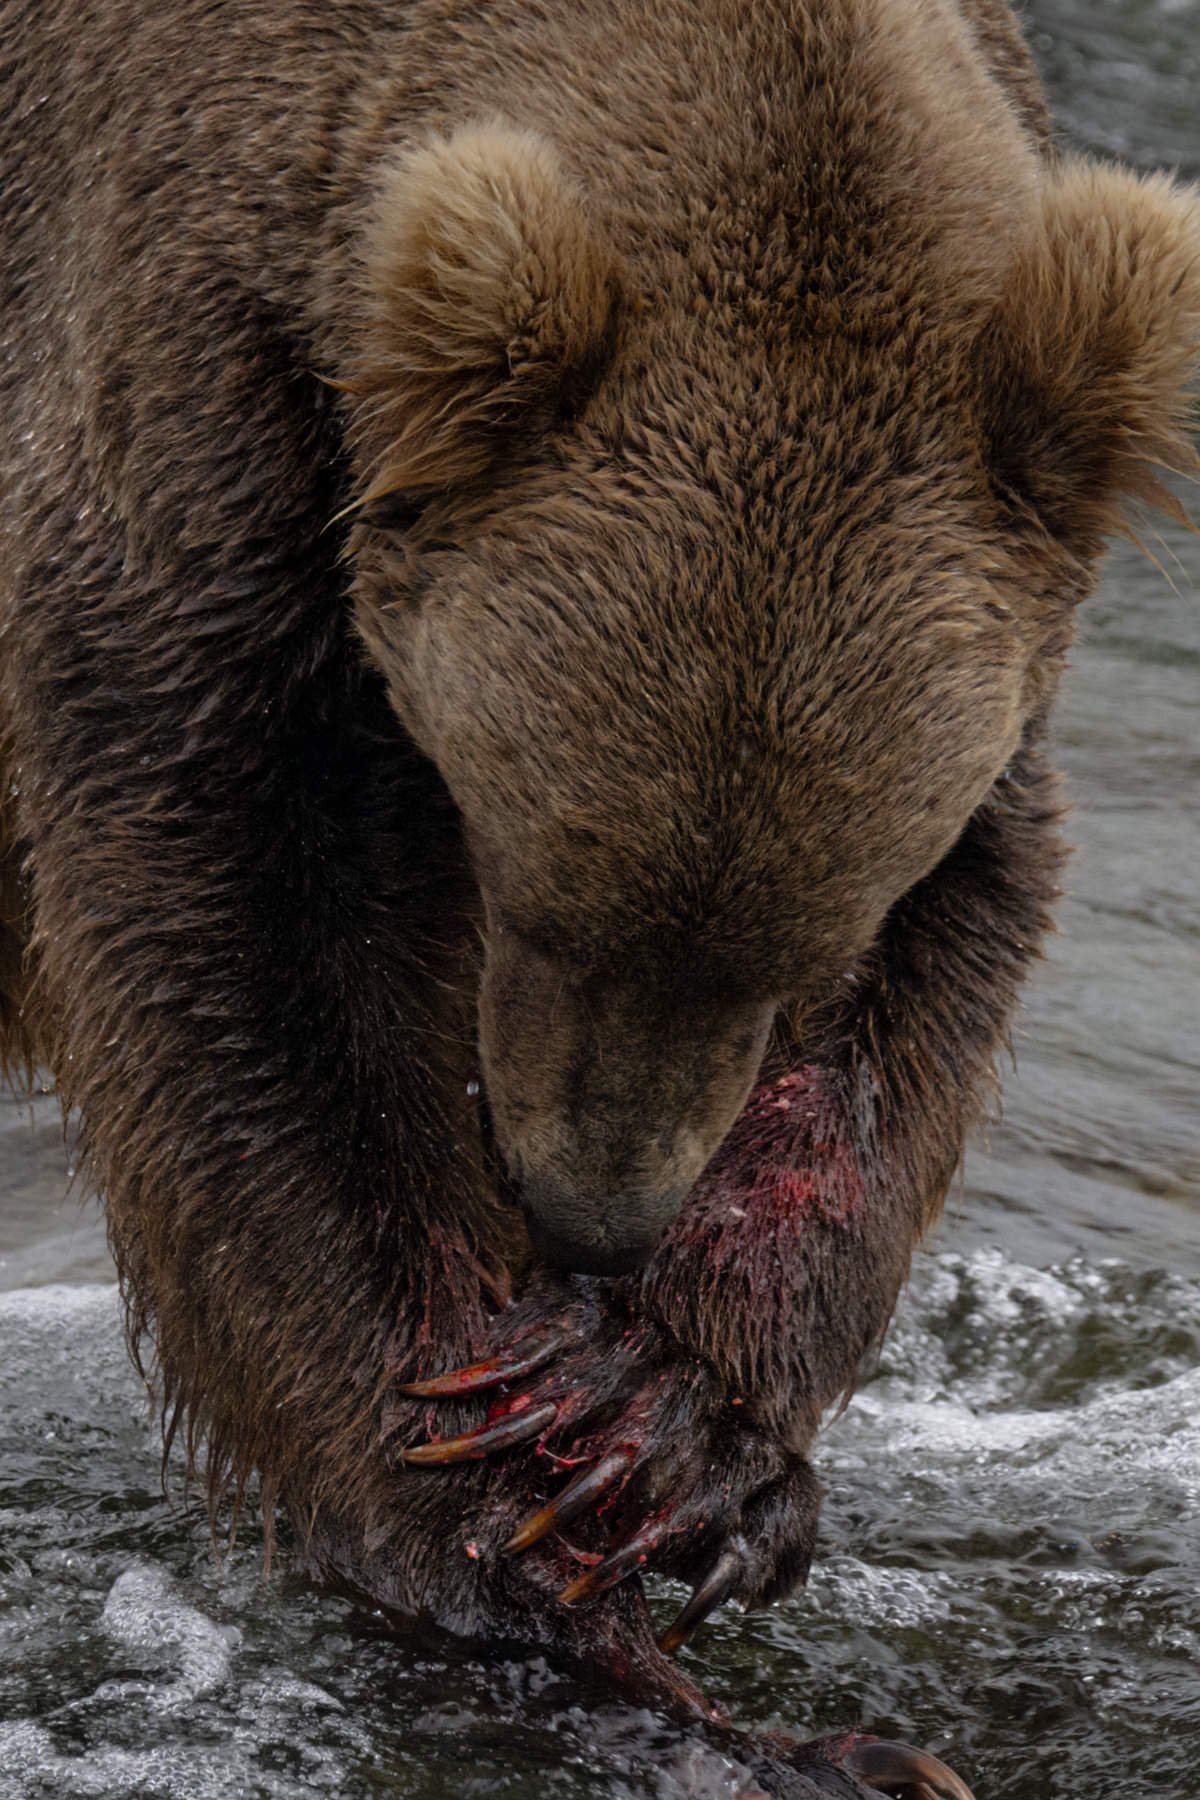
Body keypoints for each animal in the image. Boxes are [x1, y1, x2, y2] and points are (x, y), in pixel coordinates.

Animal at [0, 0, 1194, 1792]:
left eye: (799, 952)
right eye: (538, 893)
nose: (594, 1221)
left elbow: (948, 966)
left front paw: (668, 1429)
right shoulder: (198, 399)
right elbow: (236, 967)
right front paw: (527, 1558)